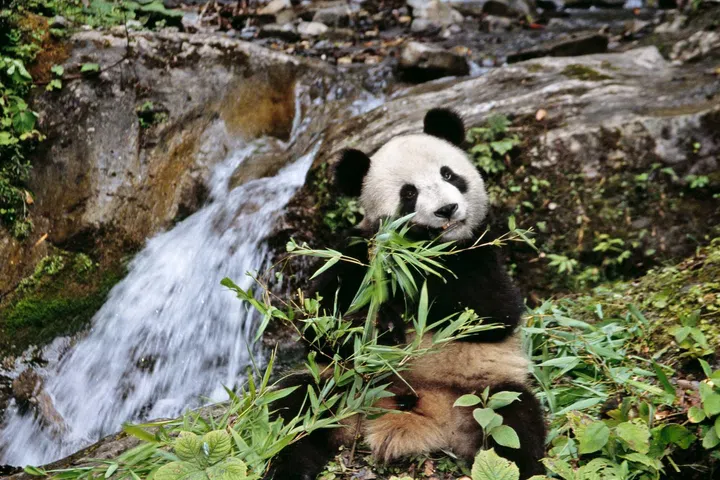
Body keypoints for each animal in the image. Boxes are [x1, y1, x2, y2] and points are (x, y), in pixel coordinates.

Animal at [267, 108, 546, 480]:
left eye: (448, 174)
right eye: (409, 193)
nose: (447, 209)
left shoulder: (480, 250)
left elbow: (492, 312)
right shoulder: (354, 256)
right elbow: (320, 330)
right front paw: (377, 322)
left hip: (482, 390)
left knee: (513, 424)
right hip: (336, 389)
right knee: (294, 410)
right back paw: (288, 467)